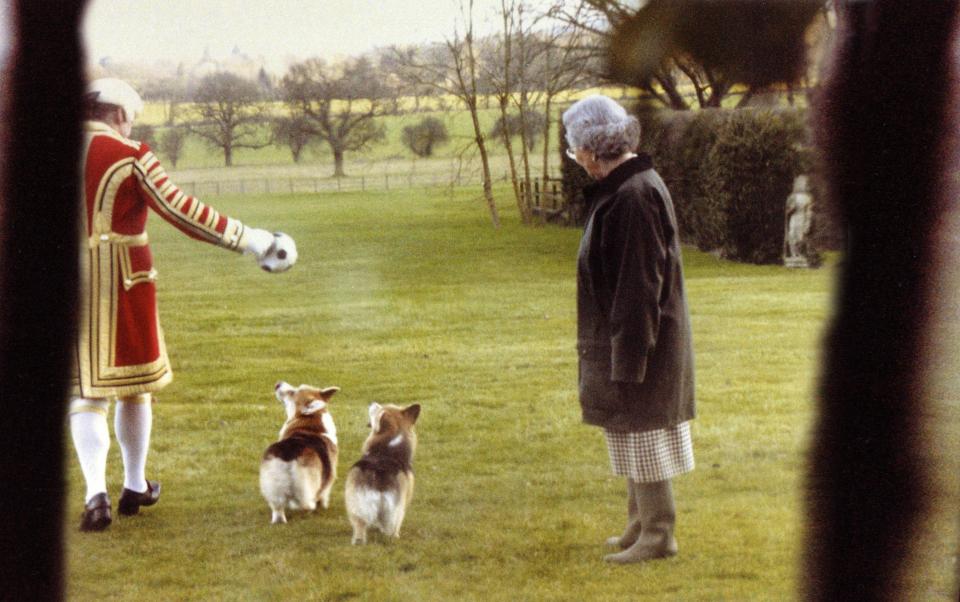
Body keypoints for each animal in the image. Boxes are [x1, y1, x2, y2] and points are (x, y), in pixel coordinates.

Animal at [258, 382, 342, 524]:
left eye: (292, 392)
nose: (278, 384)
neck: (310, 422)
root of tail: (288, 453)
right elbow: (324, 494)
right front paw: (323, 505)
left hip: (272, 483)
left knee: (277, 508)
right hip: (306, 482)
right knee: (306, 503)